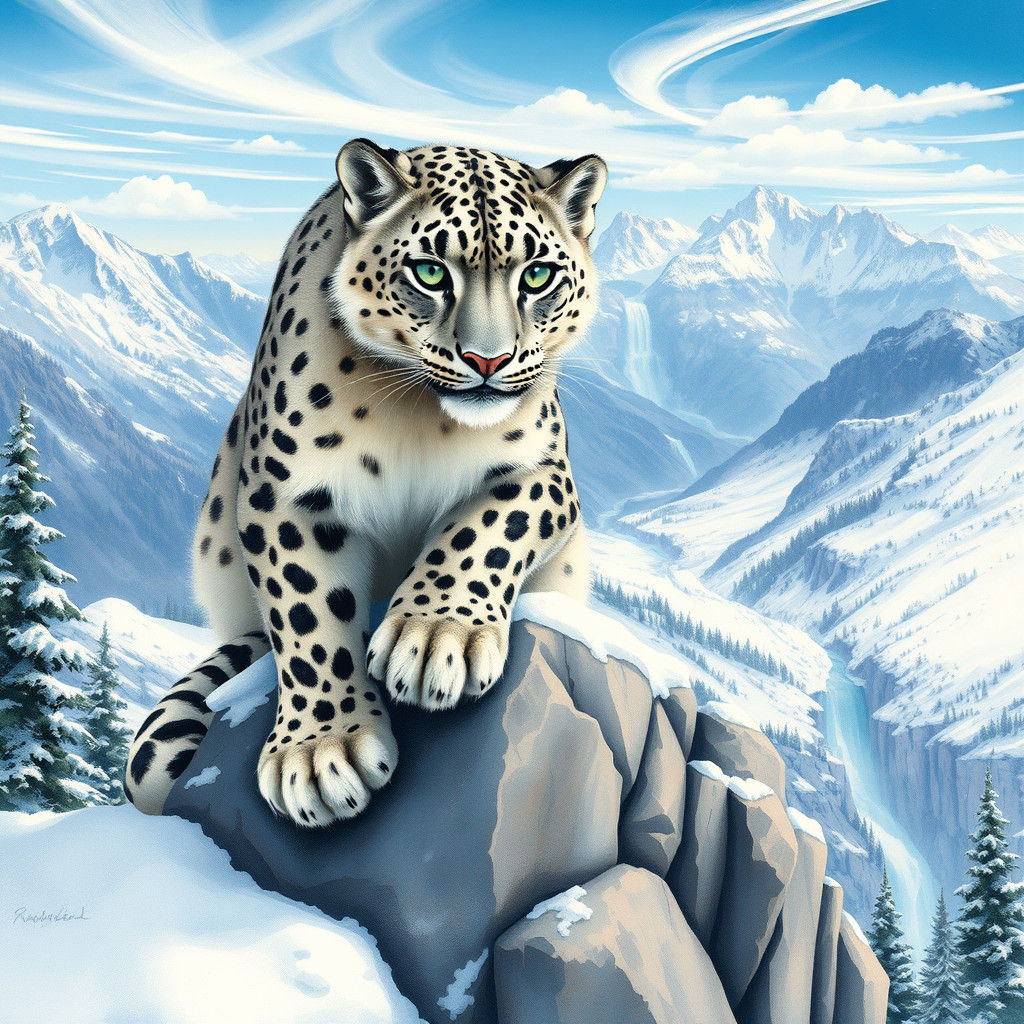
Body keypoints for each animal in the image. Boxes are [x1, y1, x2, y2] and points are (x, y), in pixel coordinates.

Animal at [125, 139, 607, 828]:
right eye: (430, 272)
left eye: (537, 276)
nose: (488, 360)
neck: (421, 419)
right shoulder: (284, 494)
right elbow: (307, 612)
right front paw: (322, 753)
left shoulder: (545, 470)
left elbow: (485, 529)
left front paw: (436, 640)